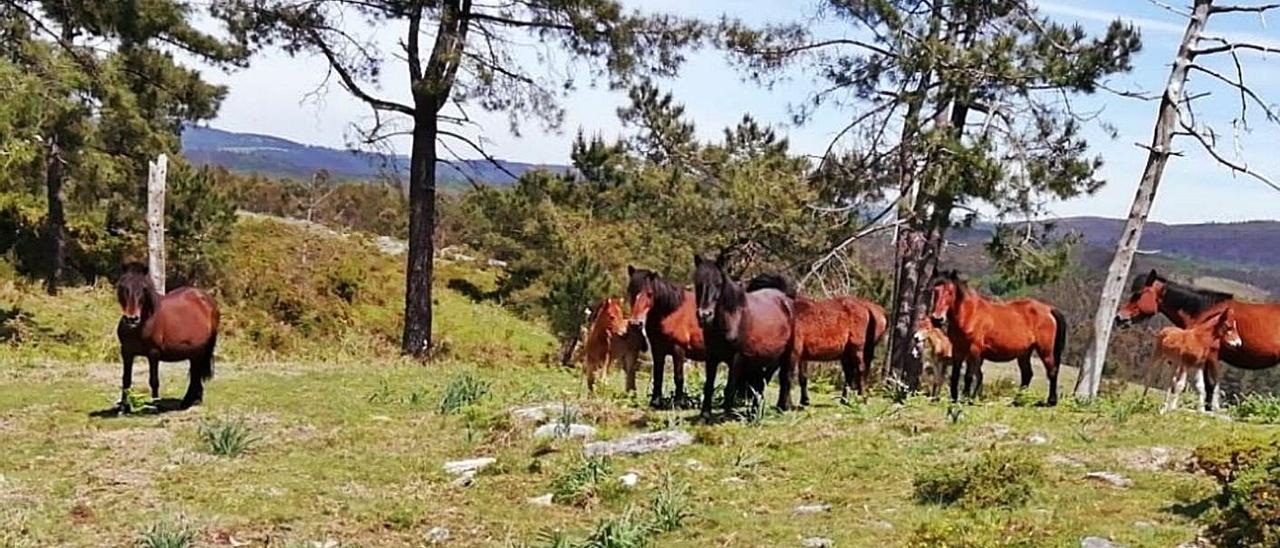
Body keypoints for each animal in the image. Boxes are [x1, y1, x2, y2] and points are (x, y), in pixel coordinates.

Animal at [115, 262, 220, 409]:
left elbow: (154, 380)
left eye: (144, 288)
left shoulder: (153, 353)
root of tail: (207, 299)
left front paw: (155, 404)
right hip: (195, 352)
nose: (132, 319)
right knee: (195, 372)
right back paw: (191, 400)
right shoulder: (126, 352)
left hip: (201, 350)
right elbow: (126, 379)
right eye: (123, 286)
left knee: (196, 373)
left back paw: (190, 400)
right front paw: (123, 407)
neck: (142, 325)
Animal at [696, 256, 793, 409]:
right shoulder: (712, 356)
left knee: (782, 378)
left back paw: (781, 407)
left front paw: (727, 411)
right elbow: (709, 386)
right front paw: (705, 413)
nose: (704, 315)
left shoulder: (737, 359)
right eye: (698, 283)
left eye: (718, 284)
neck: (734, 318)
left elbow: (729, 388)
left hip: (783, 356)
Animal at [931, 270, 1070, 407]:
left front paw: (966, 399)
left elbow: (969, 376)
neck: (970, 314)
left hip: (1045, 351)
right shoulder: (958, 349)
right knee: (1027, 374)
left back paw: (1051, 401)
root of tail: (1049, 309)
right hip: (1024, 353)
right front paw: (955, 399)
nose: (937, 319)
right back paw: (1017, 400)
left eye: (950, 292)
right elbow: (956, 376)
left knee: (1052, 371)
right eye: (935, 290)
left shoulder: (973, 350)